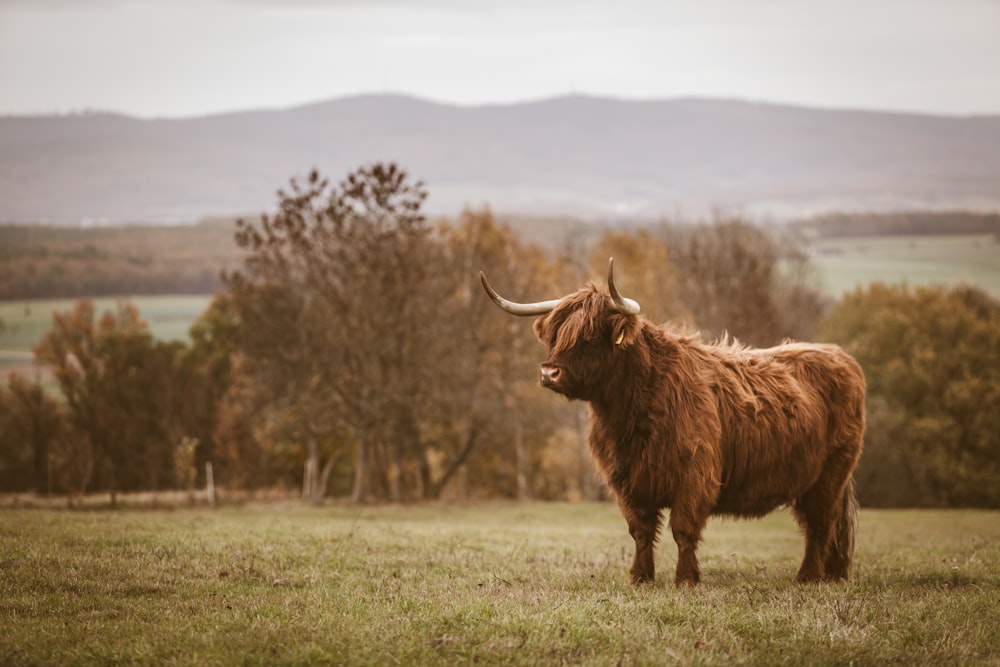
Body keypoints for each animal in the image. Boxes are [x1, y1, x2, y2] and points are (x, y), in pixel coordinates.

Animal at [480, 258, 864, 588]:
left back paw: (808, 577)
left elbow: (683, 529)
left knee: (821, 523)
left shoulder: (695, 475)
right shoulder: (626, 480)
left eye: (589, 336)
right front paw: (640, 578)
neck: (631, 412)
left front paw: (686, 580)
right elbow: (640, 531)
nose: (549, 372)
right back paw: (830, 574)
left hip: (831, 474)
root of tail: (839, 355)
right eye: (555, 335)